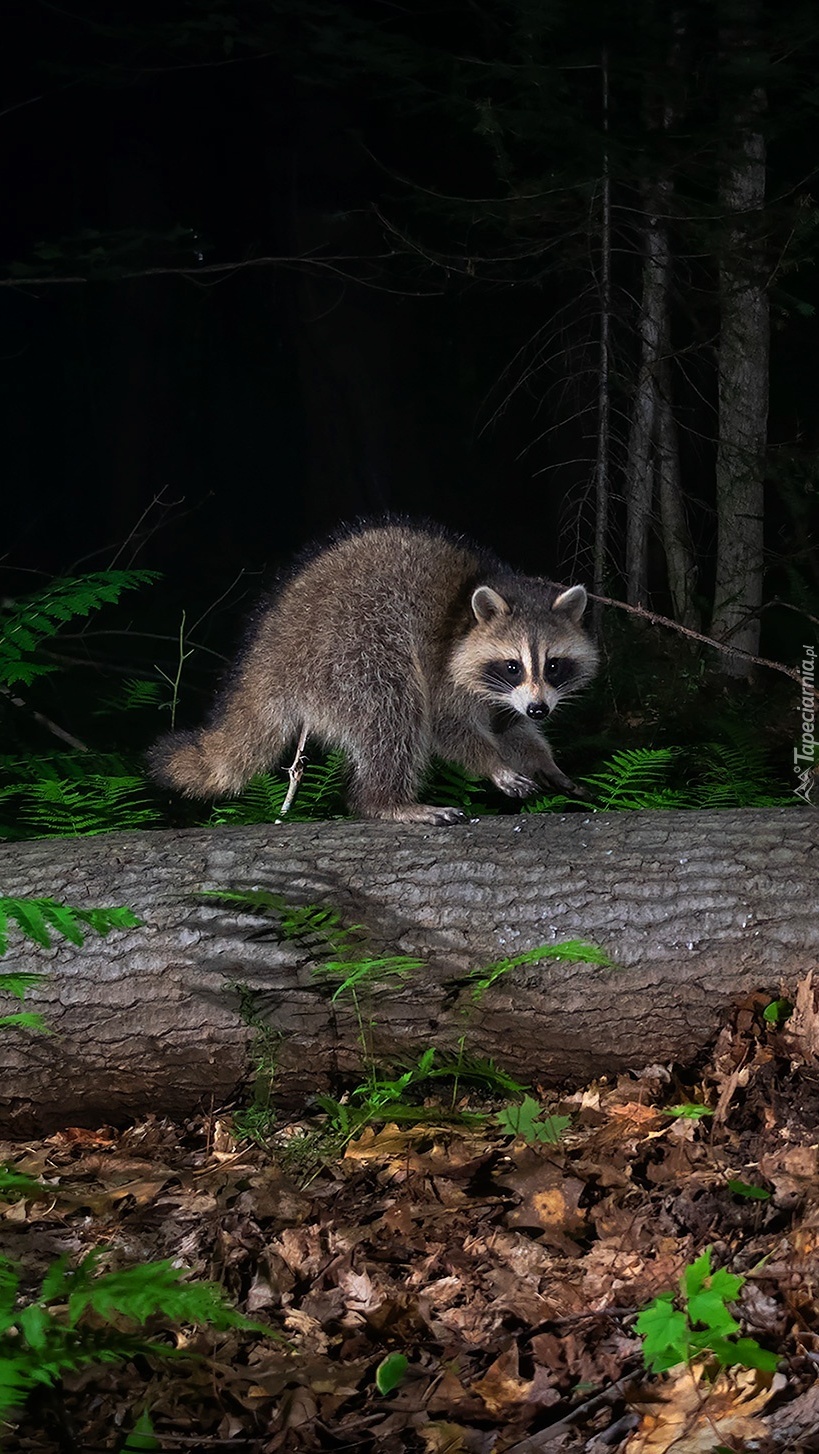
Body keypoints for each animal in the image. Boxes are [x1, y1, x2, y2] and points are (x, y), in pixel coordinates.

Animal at [149, 523, 596, 825]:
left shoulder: (508, 698)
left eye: (553, 665)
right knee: (394, 710)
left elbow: (512, 729)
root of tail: (268, 651)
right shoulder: (443, 667)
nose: (539, 710)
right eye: (513, 665)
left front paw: (544, 762)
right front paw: (493, 764)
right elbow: (447, 726)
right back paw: (387, 801)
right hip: (352, 649)